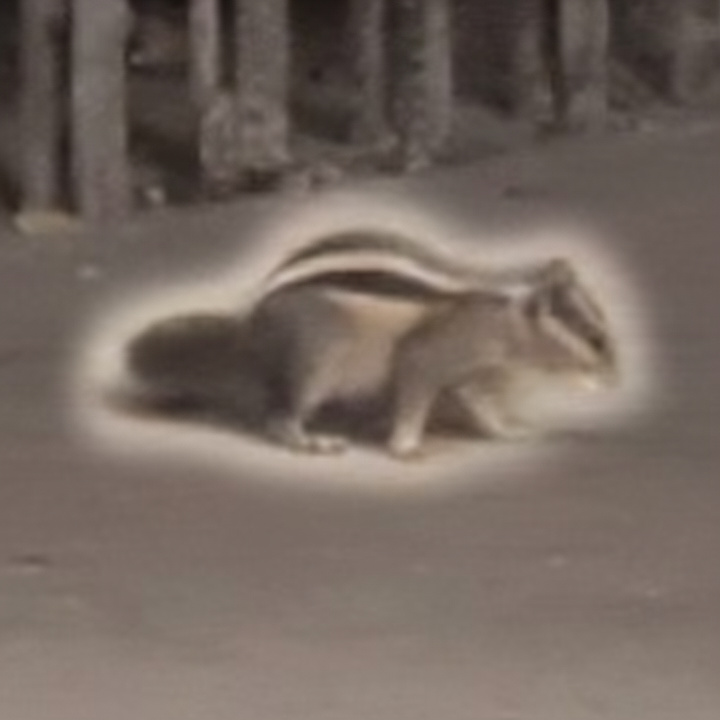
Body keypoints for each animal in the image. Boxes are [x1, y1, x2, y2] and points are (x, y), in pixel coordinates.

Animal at [126, 229, 619, 459]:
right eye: (594, 337)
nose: (615, 376)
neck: (502, 312)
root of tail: (251, 333)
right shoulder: (429, 355)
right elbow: (415, 387)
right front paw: (407, 446)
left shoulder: (470, 371)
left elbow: (482, 405)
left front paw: (510, 430)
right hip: (315, 357)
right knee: (280, 414)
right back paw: (310, 440)